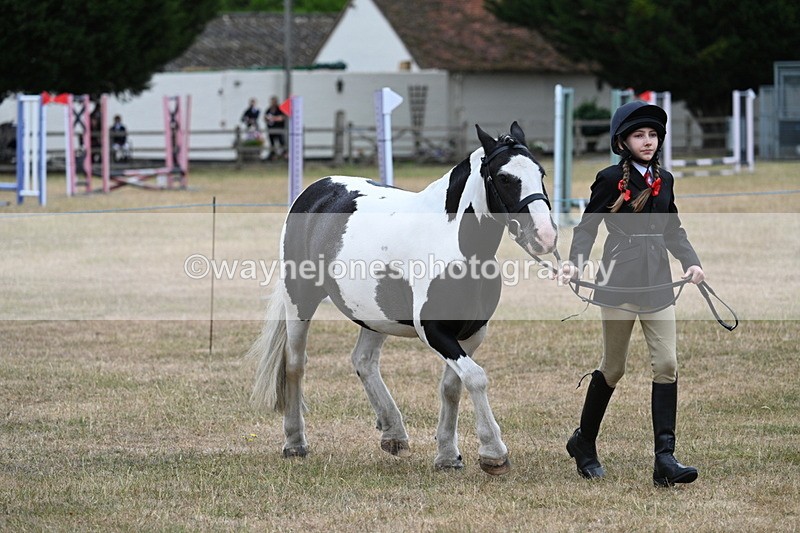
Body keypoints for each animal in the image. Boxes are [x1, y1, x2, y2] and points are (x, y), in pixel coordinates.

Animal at [248, 122, 558, 475]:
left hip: (373, 315)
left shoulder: (473, 332)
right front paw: (493, 452)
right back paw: (295, 442)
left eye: (541, 172)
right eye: (505, 177)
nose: (545, 236)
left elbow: (452, 386)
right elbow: (476, 378)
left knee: (364, 362)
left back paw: (393, 432)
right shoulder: (434, 331)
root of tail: (317, 189)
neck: (456, 244)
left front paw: (448, 455)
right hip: (299, 299)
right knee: (295, 364)